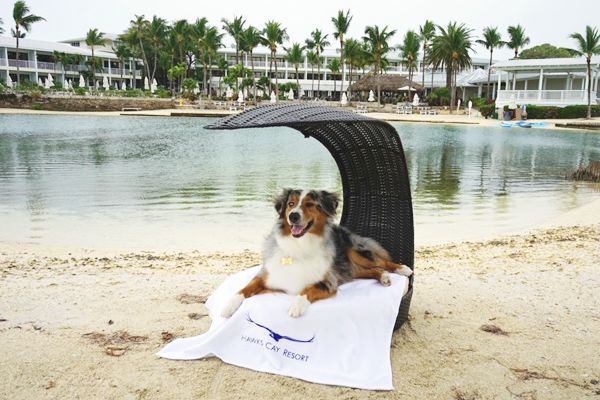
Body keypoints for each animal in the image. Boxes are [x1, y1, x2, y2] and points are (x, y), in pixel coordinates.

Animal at [220, 188, 412, 318]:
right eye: (290, 204)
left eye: (310, 205)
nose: (293, 216)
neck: (299, 245)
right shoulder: (265, 276)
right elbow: (244, 288)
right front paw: (229, 305)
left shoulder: (328, 281)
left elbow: (307, 289)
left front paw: (297, 305)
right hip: (348, 270)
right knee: (374, 270)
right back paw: (384, 277)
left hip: (354, 253)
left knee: (381, 263)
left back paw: (402, 269)